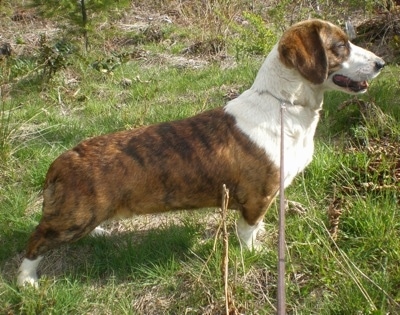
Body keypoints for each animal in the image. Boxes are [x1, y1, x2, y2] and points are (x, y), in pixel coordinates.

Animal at [16, 18, 384, 288]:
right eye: (340, 47)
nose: (382, 63)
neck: (283, 104)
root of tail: (63, 160)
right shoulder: (257, 196)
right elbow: (247, 232)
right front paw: (254, 252)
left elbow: (256, 225)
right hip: (70, 220)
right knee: (35, 241)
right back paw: (27, 281)